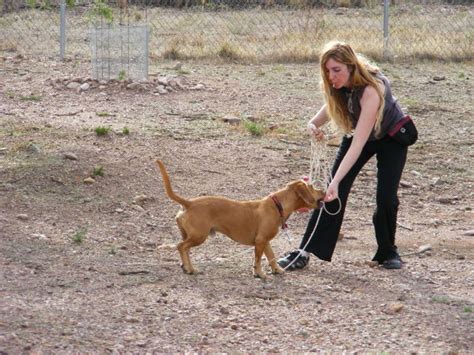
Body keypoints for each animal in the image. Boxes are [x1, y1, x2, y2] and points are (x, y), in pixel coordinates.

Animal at [157, 160, 324, 280]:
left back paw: (185, 266)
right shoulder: (260, 241)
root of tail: (189, 203)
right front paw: (259, 274)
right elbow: (258, 260)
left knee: (184, 249)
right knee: (181, 246)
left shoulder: (264, 241)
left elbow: (271, 257)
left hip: (189, 235)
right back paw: (190, 269)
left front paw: (277, 270)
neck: (278, 204)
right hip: (199, 236)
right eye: (312, 187)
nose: (324, 190)